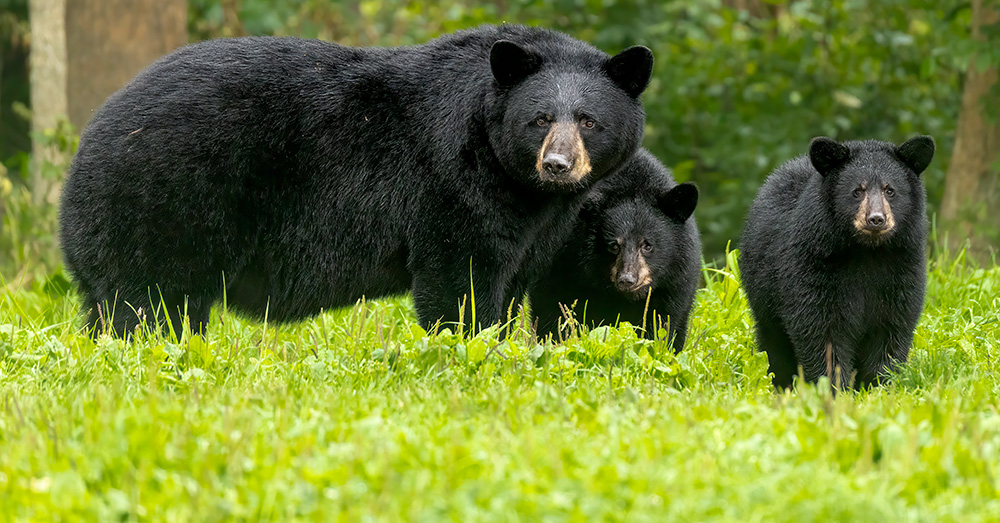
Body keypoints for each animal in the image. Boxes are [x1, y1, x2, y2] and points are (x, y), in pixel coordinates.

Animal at [58, 25, 654, 339]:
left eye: (589, 121)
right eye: (539, 118)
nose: (556, 165)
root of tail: (90, 140)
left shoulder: (536, 220)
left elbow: (513, 280)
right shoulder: (454, 184)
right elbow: (459, 276)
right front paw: (467, 346)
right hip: (166, 200)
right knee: (154, 301)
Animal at [528, 148, 701, 352]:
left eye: (647, 245)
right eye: (614, 245)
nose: (627, 279)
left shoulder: (675, 281)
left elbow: (663, 322)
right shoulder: (562, 264)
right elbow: (555, 310)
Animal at [739, 135, 935, 390]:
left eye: (890, 190)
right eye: (857, 191)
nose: (876, 219)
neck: (868, 252)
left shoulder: (902, 266)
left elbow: (891, 327)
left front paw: (879, 385)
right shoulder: (813, 264)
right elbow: (821, 329)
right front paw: (832, 387)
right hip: (764, 293)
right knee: (774, 341)